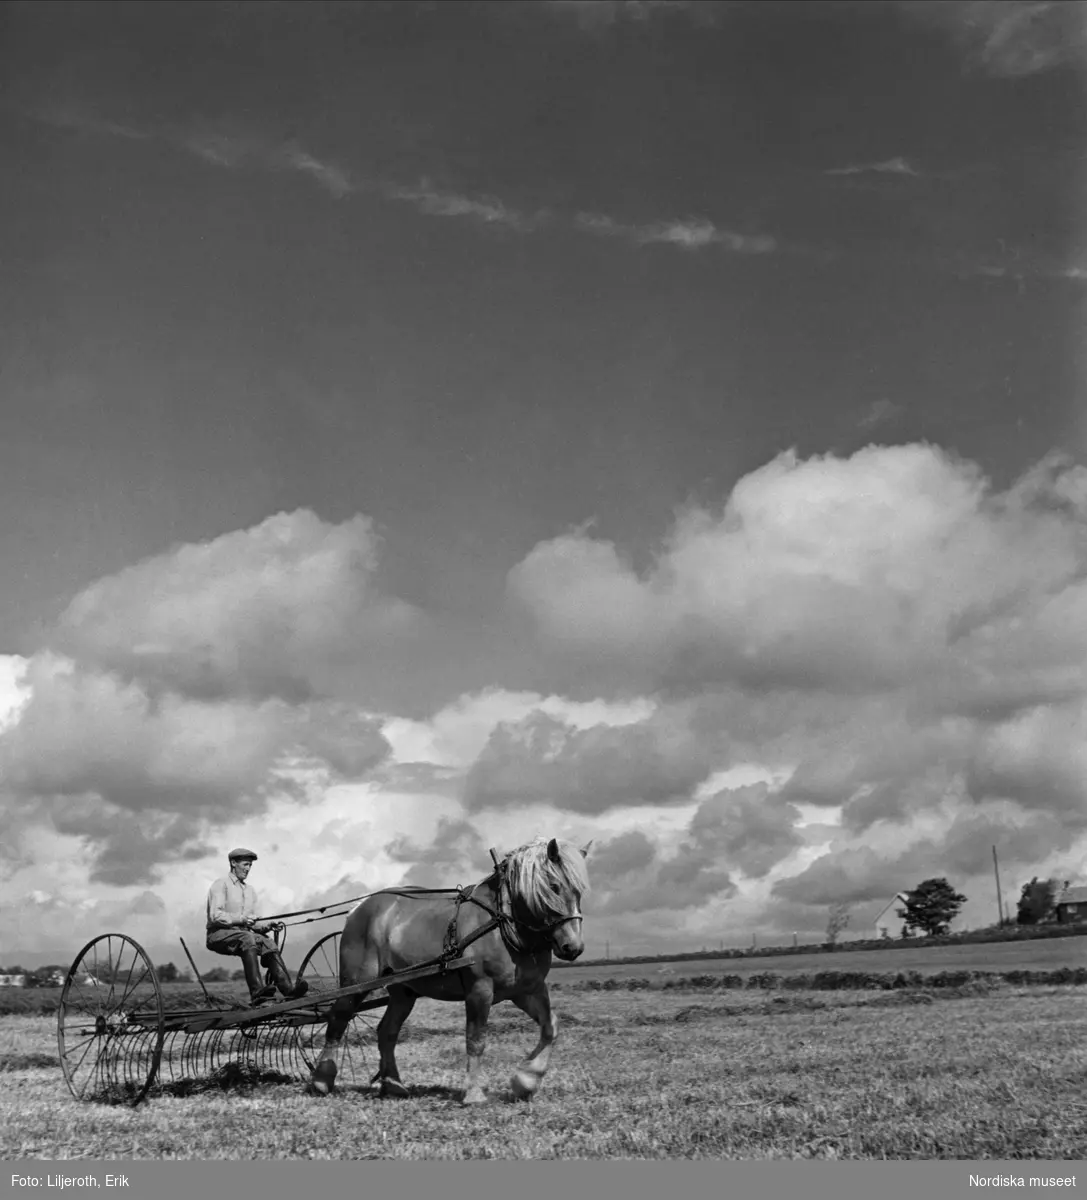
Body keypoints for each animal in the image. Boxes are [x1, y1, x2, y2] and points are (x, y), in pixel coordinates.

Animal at [309, 835, 587, 1104]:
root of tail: (359, 908)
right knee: (338, 1019)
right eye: (554, 886)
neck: (504, 924)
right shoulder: (479, 990)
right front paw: (474, 1093)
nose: (573, 947)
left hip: (403, 990)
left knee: (387, 1031)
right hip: (356, 982)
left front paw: (526, 1081)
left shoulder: (527, 990)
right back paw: (322, 1080)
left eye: (579, 891)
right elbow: (475, 1039)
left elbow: (550, 1027)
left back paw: (394, 1084)